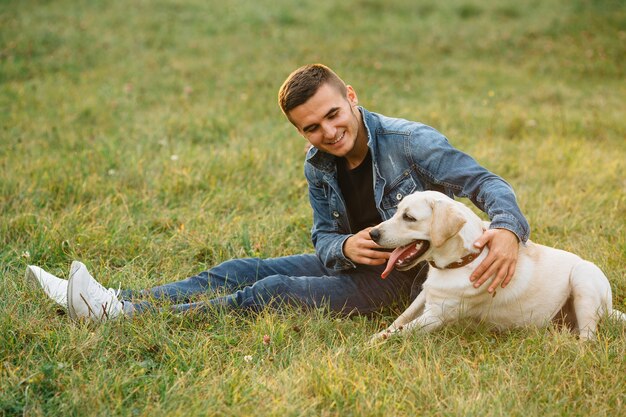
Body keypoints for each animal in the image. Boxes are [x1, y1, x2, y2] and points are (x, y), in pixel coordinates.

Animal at [368, 190, 620, 340]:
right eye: (397, 211)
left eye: (409, 218)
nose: (372, 234)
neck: (462, 260)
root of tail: (609, 309)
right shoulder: (424, 297)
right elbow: (398, 321)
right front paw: (376, 335)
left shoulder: (435, 316)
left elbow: (398, 333)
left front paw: (368, 346)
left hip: (584, 277)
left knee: (588, 338)